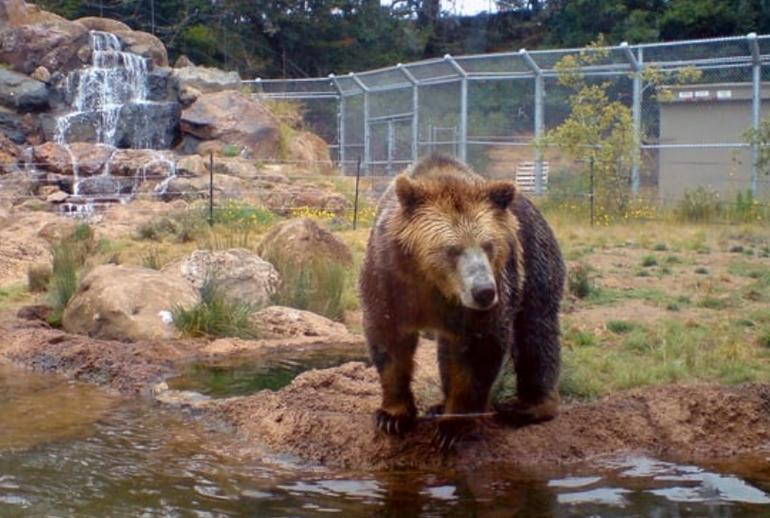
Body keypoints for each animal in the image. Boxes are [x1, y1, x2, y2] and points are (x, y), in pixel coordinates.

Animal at [356, 153, 560, 450]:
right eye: (452, 249)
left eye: (488, 244)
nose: (484, 291)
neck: (434, 284)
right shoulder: (388, 278)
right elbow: (389, 341)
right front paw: (392, 416)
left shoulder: (491, 294)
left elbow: (477, 350)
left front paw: (452, 427)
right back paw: (439, 404)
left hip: (535, 263)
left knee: (536, 333)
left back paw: (527, 406)